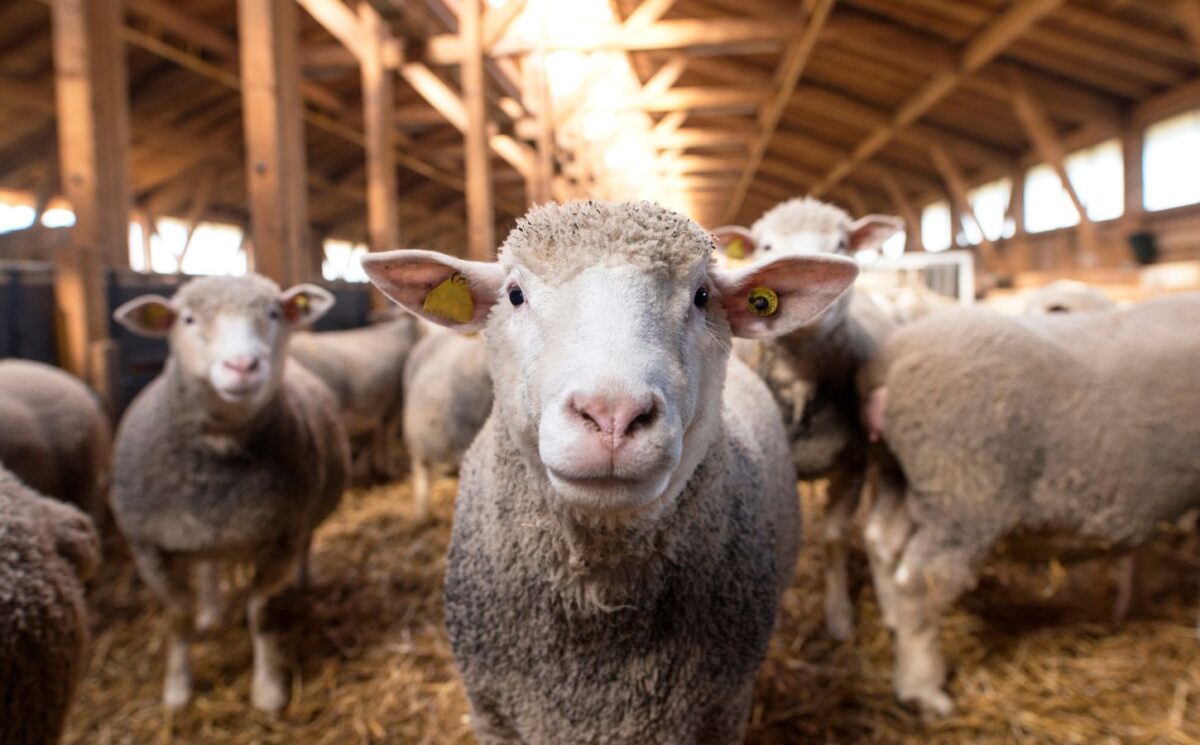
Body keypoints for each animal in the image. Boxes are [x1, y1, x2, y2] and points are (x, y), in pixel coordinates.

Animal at [109, 274, 350, 713]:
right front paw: (177, 691)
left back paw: (303, 581)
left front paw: (268, 690)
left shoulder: (281, 539)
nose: (243, 366)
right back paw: (211, 611)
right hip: (202, 533)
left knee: (306, 544)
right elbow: (177, 617)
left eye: (273, 313)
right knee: (208, 566)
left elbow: (261, 612)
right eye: (187, 319)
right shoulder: (148, 548)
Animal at [861, 295, 1200, 716]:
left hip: (898, 474)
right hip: (964, 491)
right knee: (924, 582)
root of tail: (891, 359)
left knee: (881, 541)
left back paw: (890, 620)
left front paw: (1133, 607)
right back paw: (923, 690)